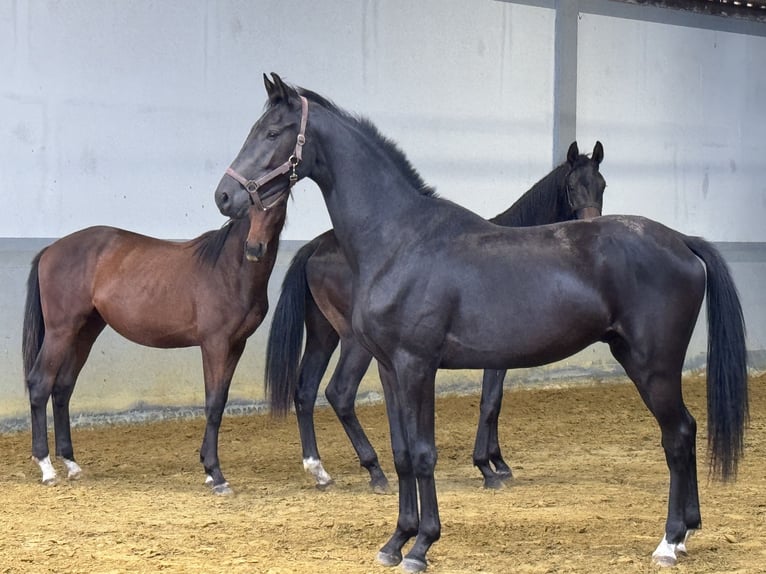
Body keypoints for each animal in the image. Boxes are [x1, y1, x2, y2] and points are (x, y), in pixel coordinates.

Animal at [24, 198, 290, 496]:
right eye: (253, 203)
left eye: (279, 203)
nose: (255, 249)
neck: (229, 269)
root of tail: (50, 250)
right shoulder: (215, 344)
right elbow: (213, 404)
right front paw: (216, 475)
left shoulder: (236, 345)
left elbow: (220, 403)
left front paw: (209, 472)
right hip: (60, 331)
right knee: (40, 384)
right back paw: (46, 468)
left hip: (84, 332)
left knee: (62, 388)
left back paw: (71, 464)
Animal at [264, 142, 608, 492]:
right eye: (571, 186)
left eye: (602, 185)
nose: (592, 225)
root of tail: (316, 247)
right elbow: (490, 402)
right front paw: (486, 466)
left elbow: (494, 402)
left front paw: (498, 462)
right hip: (354, 343)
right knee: (340, 393)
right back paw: (375, 470)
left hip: (323, 335)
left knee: (305, 390)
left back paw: (319, 470)